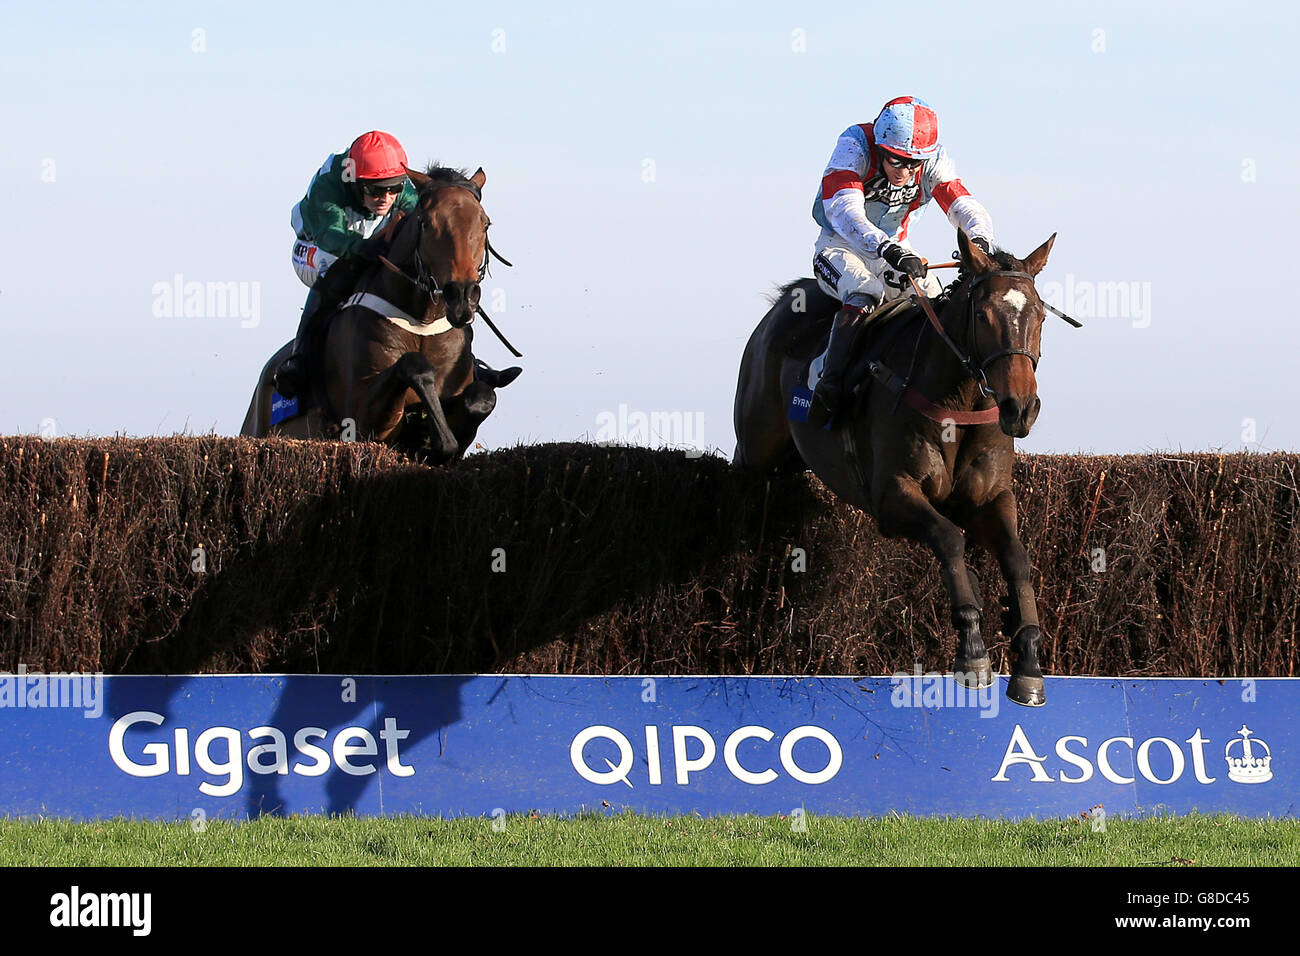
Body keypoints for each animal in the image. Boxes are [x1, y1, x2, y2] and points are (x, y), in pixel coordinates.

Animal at [241, 164, 514, 463]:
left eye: (484, 223)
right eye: (426, 223)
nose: (462, 295)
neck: (421, 320)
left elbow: (482, 397)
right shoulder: (360, 420)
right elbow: (413, 365)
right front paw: (438, 439)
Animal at [743, 230, 1055, 712]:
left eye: (1039, 315)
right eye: (982, 315)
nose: (1020, 408)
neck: (958, 403)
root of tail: (783, 303)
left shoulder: (990, 498)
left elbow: (1017, 557)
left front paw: (1028, 657)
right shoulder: (892, 496)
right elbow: (949, 537)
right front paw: (973, 648)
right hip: (754, 454)